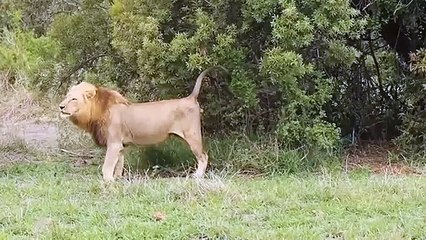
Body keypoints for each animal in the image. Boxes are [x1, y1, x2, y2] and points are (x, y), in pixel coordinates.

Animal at [59, 66, 220, 181]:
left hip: (192, 135)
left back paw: (198, 176)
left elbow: (107, 167)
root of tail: (190, 98)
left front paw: (107, 182)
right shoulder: (120, 146)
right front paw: (117, 179)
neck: (97, 112)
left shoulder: (114, 143)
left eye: (73, 99)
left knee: (203, 156)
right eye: (66, 97)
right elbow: (119, 165)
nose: (60, 106)